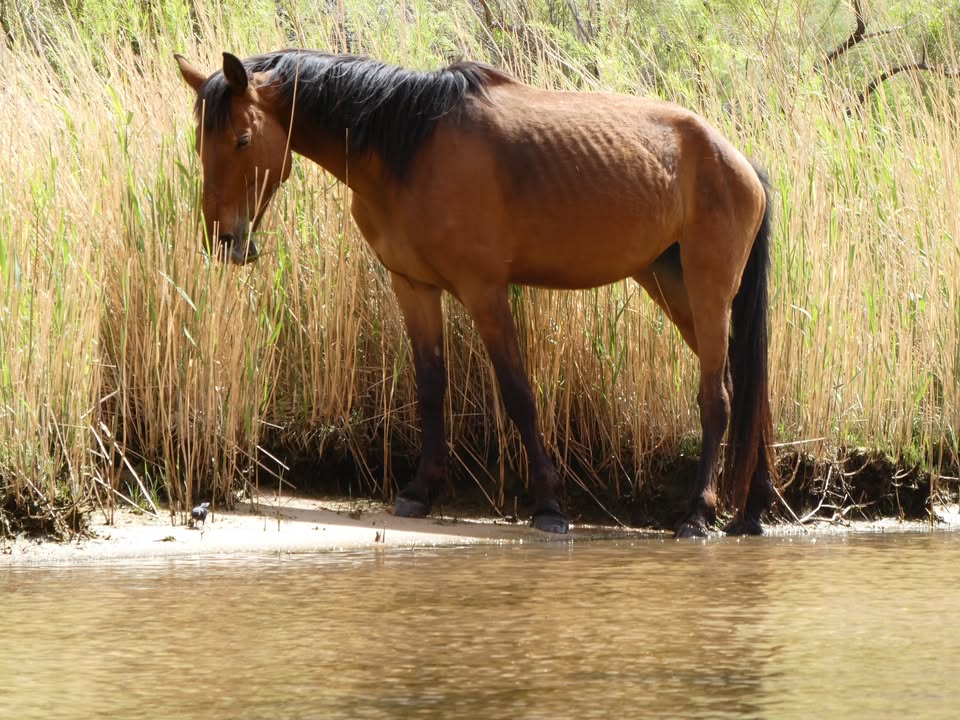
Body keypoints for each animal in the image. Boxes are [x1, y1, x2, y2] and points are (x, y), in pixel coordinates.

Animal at [175, 49, 777, 537]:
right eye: (202, 142)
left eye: (242, 139)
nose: (225, 240)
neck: (410, 147)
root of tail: (740, 162)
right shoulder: (414, 286)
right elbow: (430, 386)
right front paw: (421, 491)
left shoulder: (484, 292)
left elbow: (518, 393)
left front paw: (549, 505)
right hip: (672, 288)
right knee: (747, 389)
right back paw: (753, 509)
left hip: (708, 290)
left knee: (718, 397)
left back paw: (699, 514)